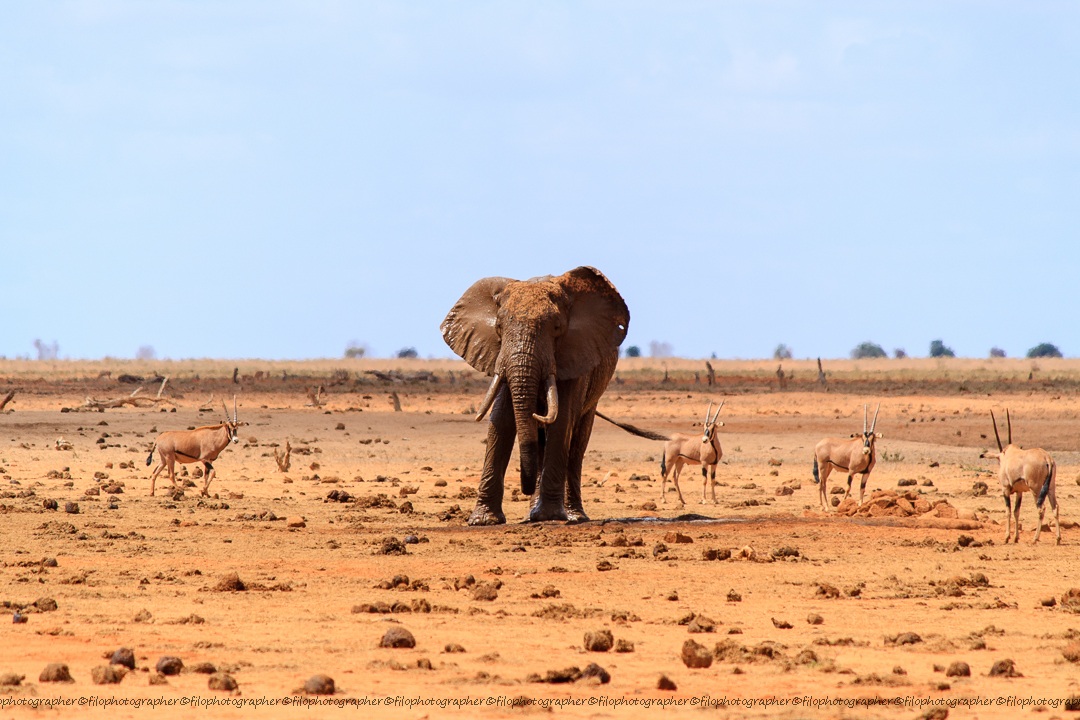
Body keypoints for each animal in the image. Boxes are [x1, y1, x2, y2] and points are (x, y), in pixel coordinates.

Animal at [441, 266, 629, 525]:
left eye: (557, 328)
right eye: (499, 328)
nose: (524, 487)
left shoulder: (576, 354)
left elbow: (562, 420)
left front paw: (550, 516)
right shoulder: (501, 357)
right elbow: (501, 420)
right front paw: (483, 520)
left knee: (577, 443)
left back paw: (572, 516)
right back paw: (534, 513)